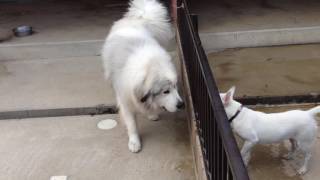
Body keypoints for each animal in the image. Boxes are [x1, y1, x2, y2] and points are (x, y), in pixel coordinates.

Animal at [101, 0, 184, 153]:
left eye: (175, 87)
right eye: (166, 91)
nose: (182, 105)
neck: (148, 65)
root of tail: (138, 18)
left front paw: (151, 113)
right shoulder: (126, 100)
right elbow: (132, 124)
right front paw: (134, 142)